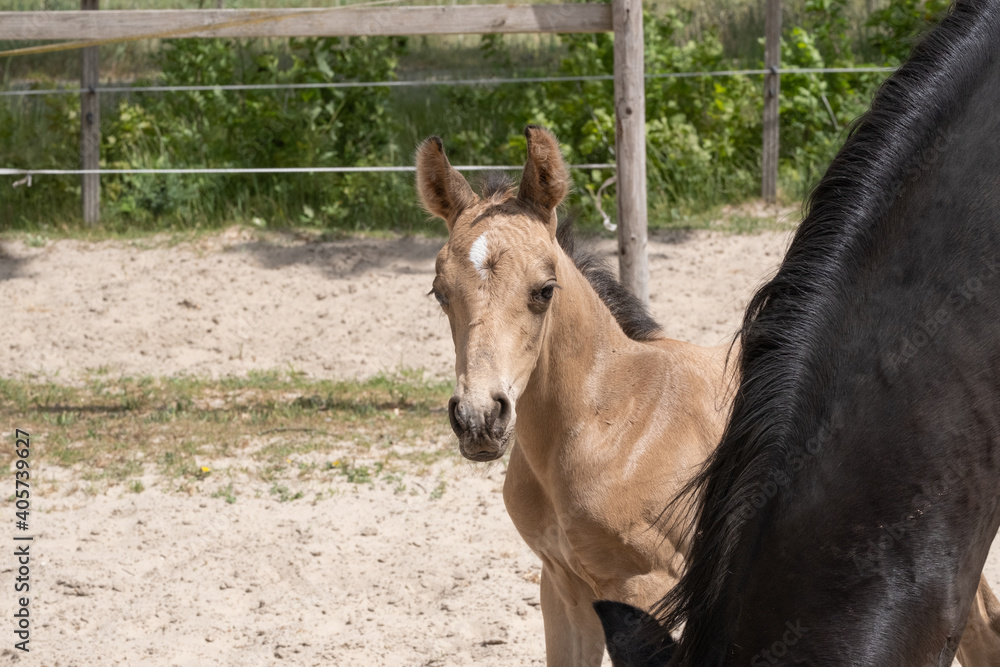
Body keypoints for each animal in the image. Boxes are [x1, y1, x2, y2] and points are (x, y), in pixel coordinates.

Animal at [415, 125, 735, 665]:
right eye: (440, 292)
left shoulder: (645, 589)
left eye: (545, 290)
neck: (613, 419)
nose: (479, 419)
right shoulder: (563, 585)